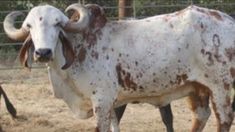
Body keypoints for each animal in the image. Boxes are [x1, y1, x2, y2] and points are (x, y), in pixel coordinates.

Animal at [3, 3, 235, 132]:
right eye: (29, 26)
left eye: (57, 24)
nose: (43, 52)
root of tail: (228, 20)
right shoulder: (113, 103)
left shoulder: (102, 100)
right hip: (197, 88)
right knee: (201, 116)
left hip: (220, 87)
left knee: (224, 120)